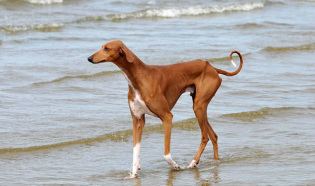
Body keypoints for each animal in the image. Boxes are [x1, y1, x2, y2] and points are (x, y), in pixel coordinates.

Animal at [88, 40, 244, 178]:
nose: (89, 58)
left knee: (205, 136)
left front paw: (175, 166)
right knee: (213, 136)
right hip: (199, 106)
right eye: (101, 46)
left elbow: (166, 154)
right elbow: (135, 151)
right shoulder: (138, 119)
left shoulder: (167, 117)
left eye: (106, 48)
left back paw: (193, 163)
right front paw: (133, 174)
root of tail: (211, 67)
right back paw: (214, 162)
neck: (138, 77)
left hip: (199, 106)